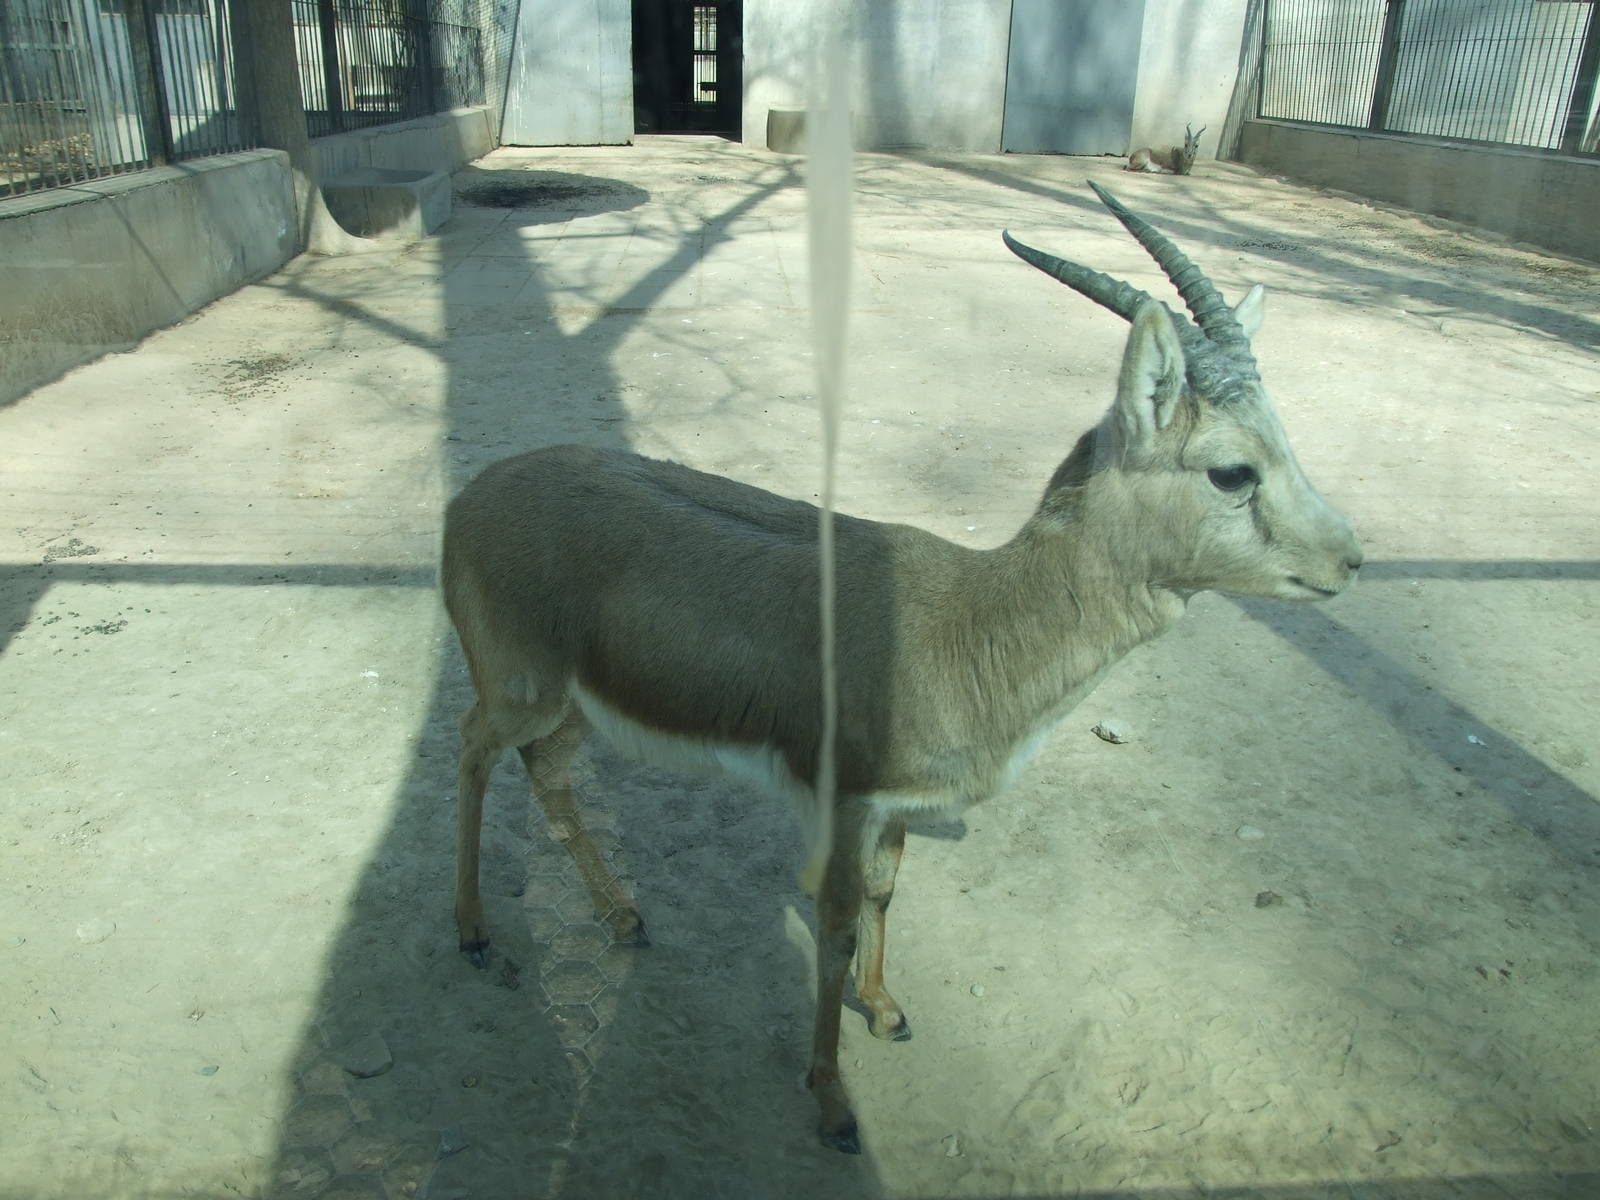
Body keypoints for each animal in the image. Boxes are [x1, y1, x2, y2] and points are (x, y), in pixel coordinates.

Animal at [442, 182, 1362, 1154]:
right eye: (1232, 470)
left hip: (577, 709)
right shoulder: (844, 800)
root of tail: (467, 499)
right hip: (521, 690)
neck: (969, 625)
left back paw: (622, 917)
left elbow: (887, 898)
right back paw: (474, 933)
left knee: (545, 772)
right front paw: (832, 1101)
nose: (1350, 560)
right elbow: (838, 926)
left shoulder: (892, 808)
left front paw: (884, 1010)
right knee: (470, 750)